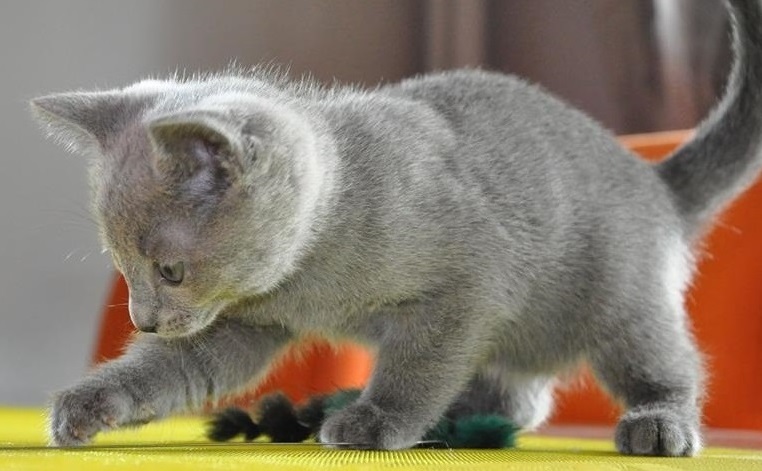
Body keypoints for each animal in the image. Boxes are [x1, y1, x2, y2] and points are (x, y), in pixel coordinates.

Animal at [29, 0, 760, 458]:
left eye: (171, 270)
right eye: (123, 267)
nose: (144, 318)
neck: (311, 270)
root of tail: (653, 178)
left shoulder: (468, 284)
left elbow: (419, 360)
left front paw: (378, 418)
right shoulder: (241, 322)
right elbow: (183, 366)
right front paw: (95, 403)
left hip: (620, 300)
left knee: (662, 361)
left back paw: (660, 423)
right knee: (523, 397)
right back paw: (465, 413)